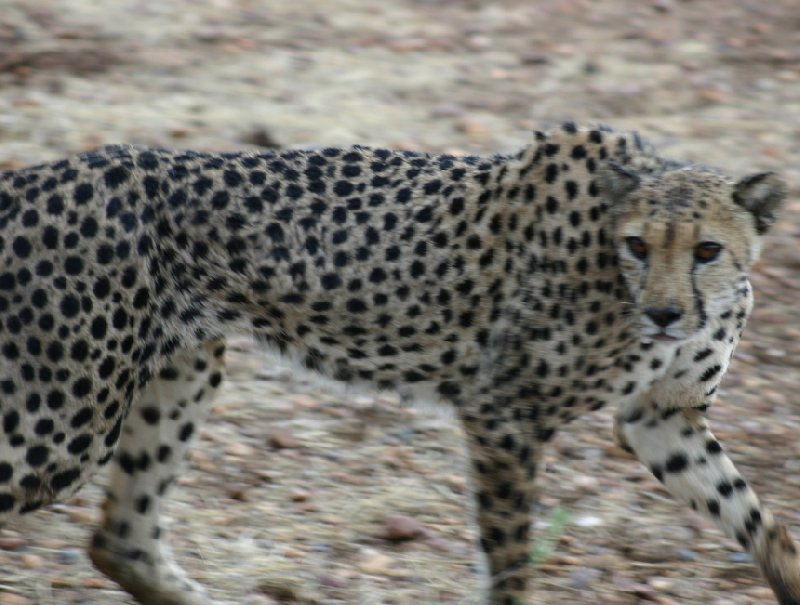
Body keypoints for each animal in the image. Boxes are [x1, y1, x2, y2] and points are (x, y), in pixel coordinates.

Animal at [0, 124, 796, 604]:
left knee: (122, 539)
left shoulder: (661, 418)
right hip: (64, 421)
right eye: (638, 244)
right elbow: (511, 561)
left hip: (180, 369)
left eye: (706, 249)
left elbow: (754, 516)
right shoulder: (504, 416)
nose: (664, 314)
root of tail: (36, 175)